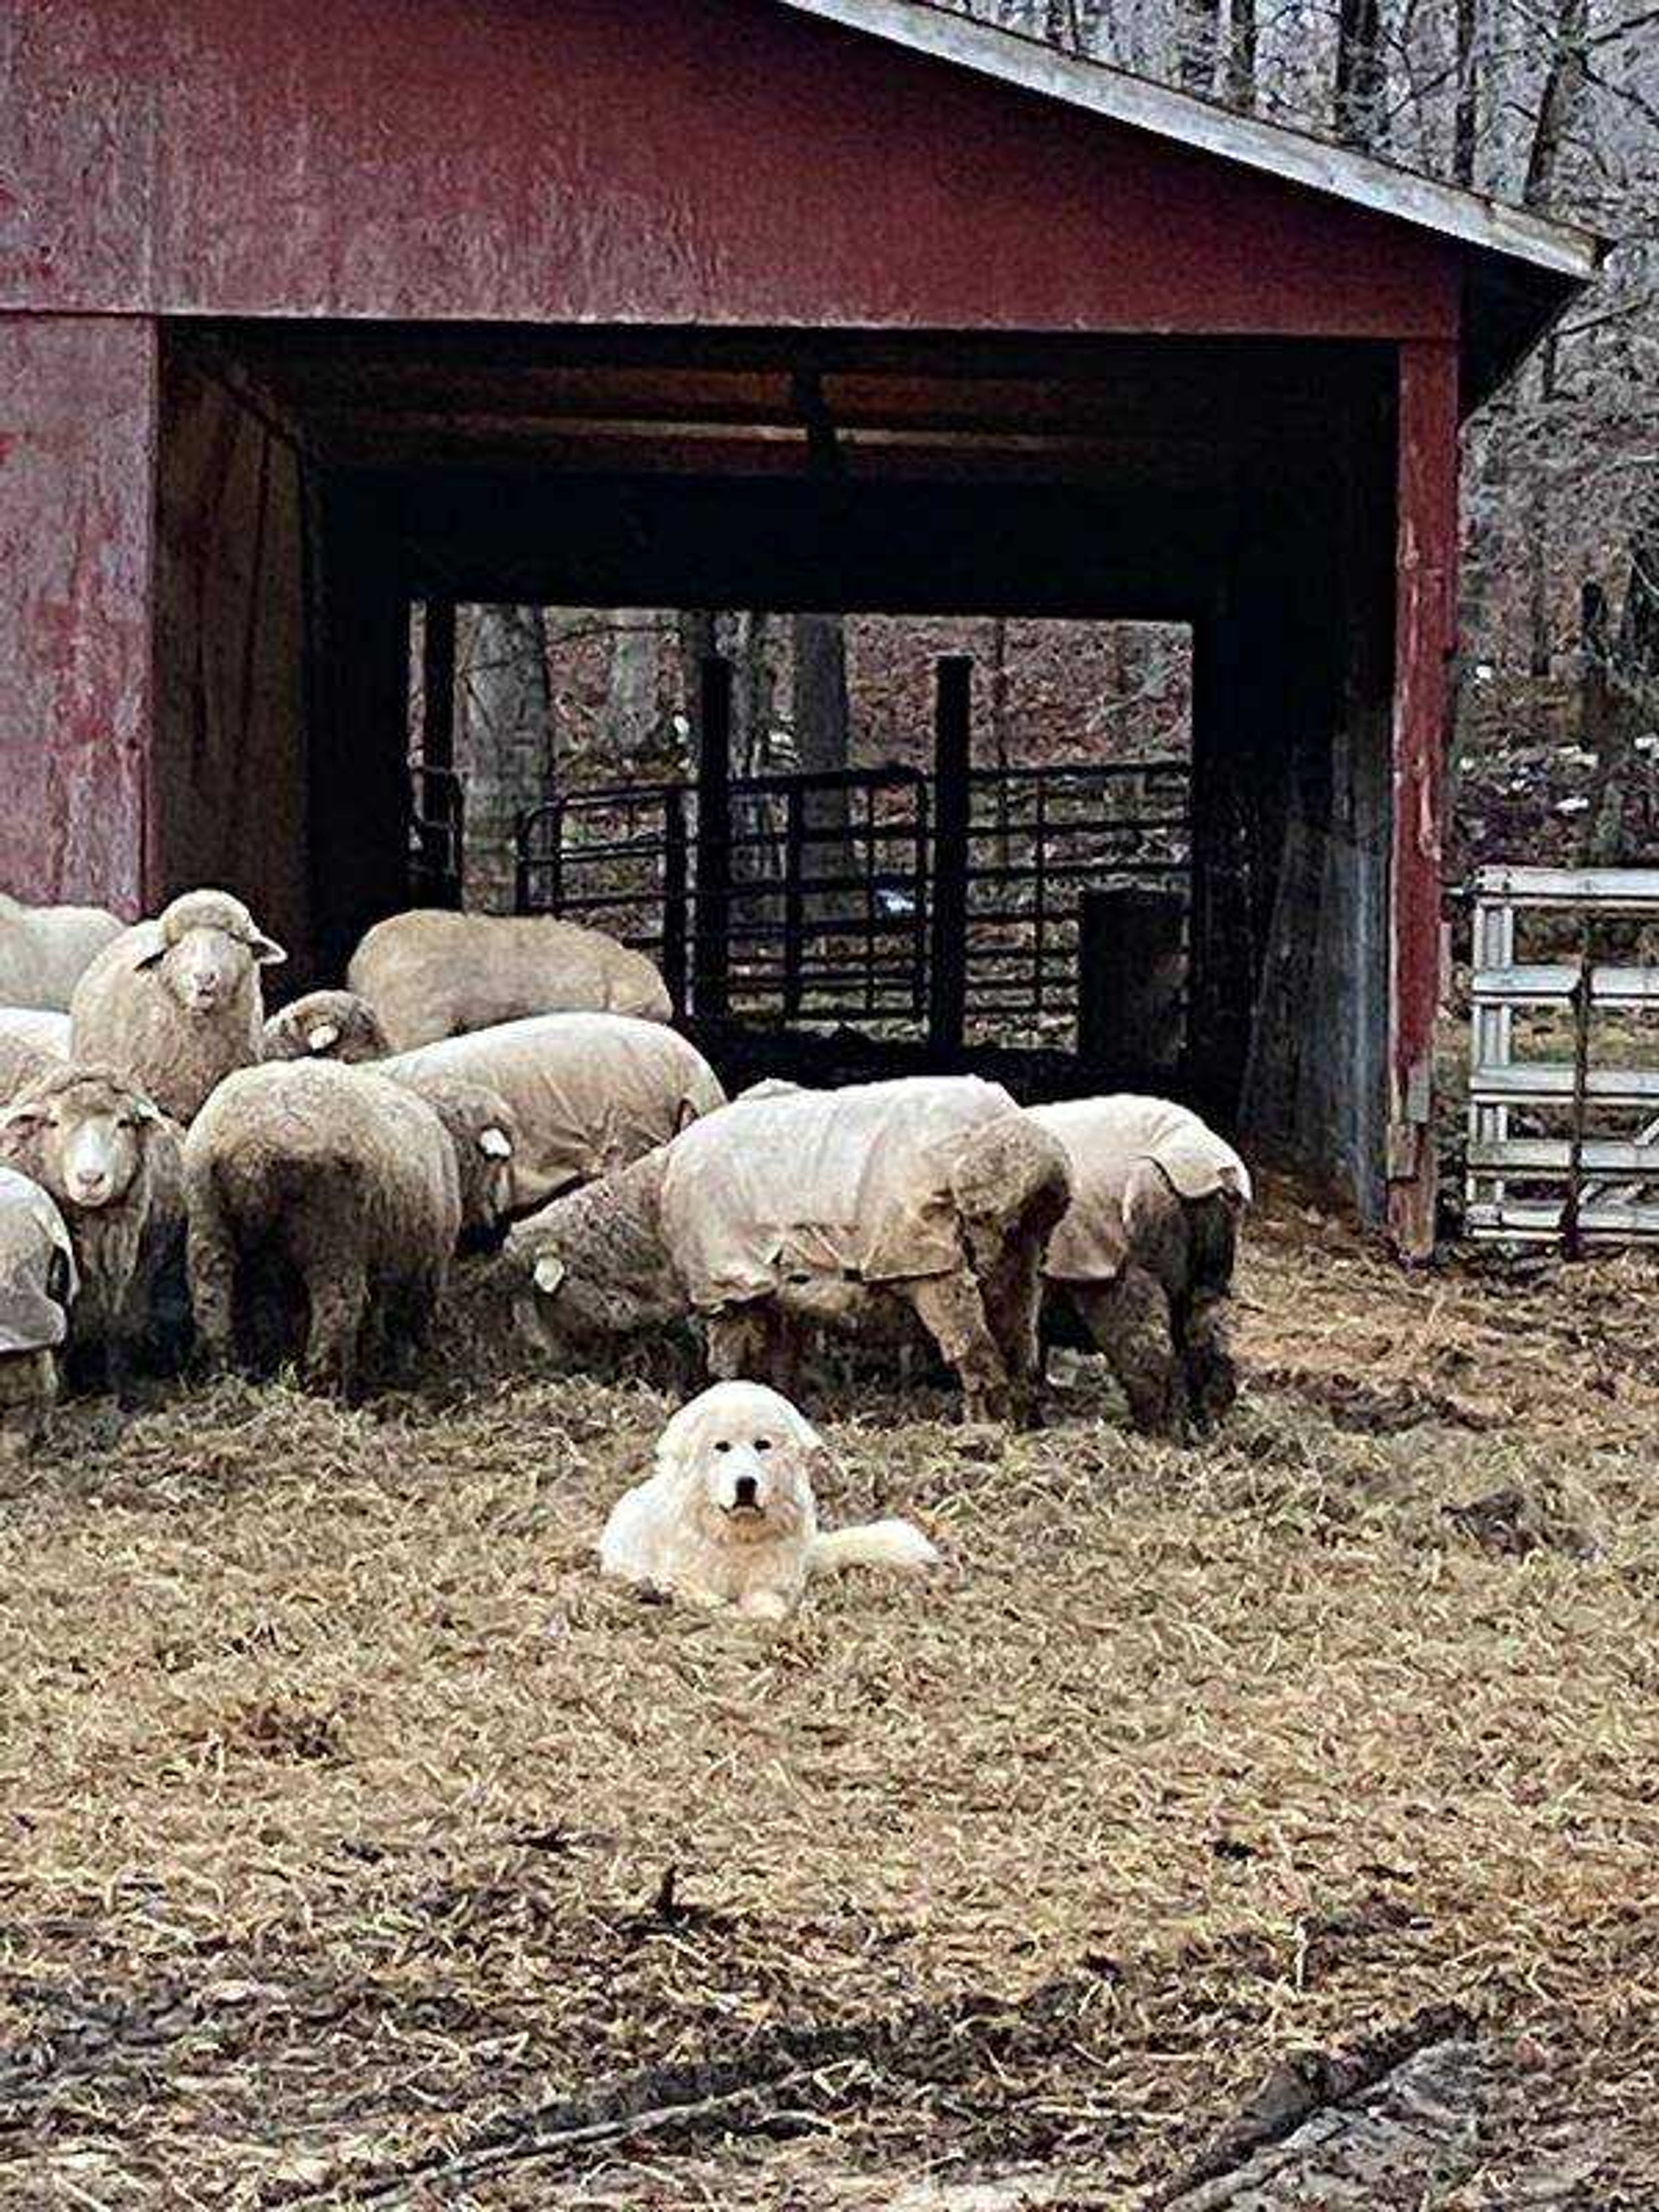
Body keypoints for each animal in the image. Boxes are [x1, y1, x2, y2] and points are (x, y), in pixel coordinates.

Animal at [601, 1380, 942, 1628]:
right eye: (721, 1447)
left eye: (762, 1445)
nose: (746, 1483)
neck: (737, 1536)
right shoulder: (685, 1572)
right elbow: (701, 1594)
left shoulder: (772, 1579)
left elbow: (766, 1606)